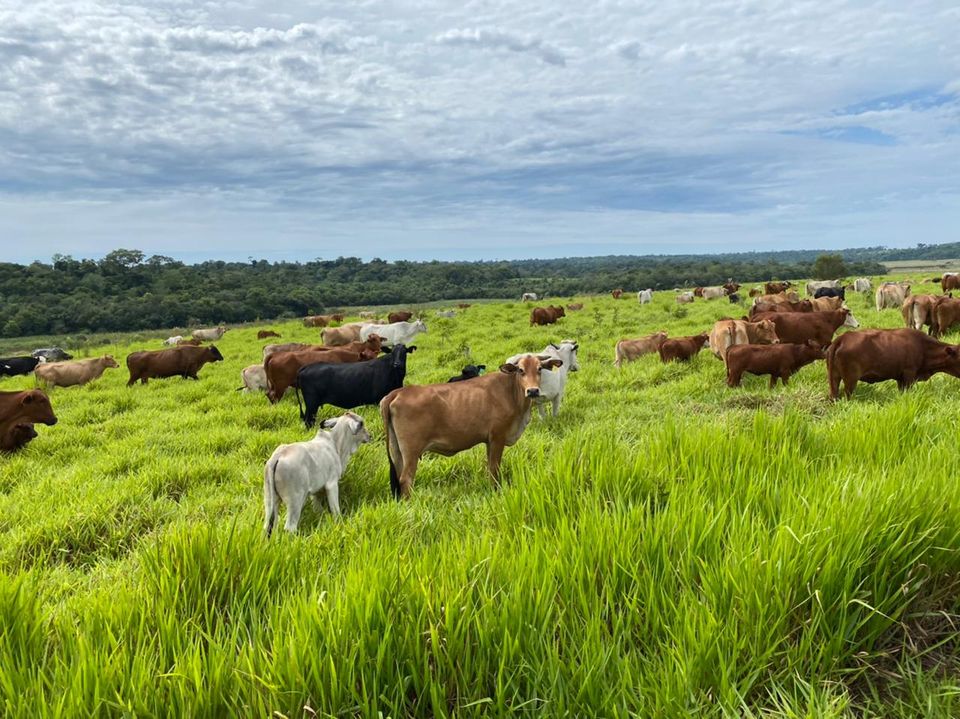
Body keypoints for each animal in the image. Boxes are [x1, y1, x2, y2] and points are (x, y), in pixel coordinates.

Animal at [380, 352, 564, 498]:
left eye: (539, 368)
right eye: (520, 370)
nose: (532, 391)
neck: (512, 392)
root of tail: (397, 392)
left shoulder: (489, 440)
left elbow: (490, 468)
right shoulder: (497, 437)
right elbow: (494, 469)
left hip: (397, 452)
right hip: (411, 452)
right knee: (406, 479)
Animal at [820, 330, 960, 402]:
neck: (923, 347)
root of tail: (842, 338)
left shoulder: (900, 378)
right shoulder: (909, 374)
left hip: (834, 378)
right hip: (850, 380)